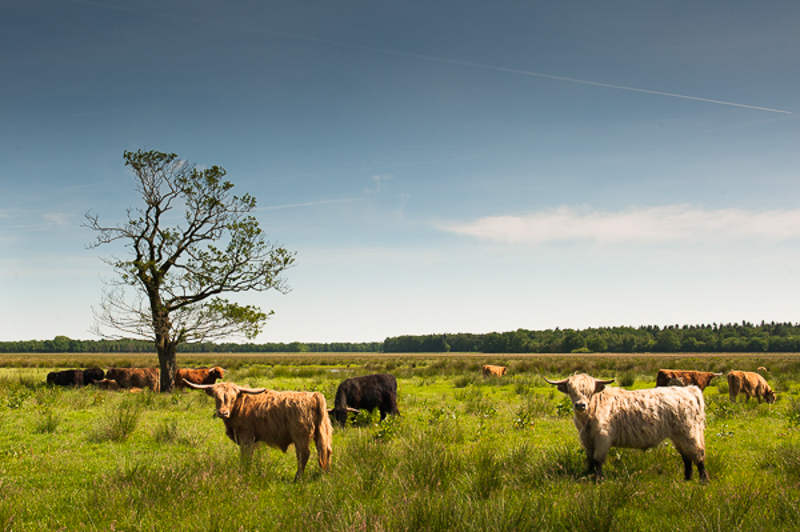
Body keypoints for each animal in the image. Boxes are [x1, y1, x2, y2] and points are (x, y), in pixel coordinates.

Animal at [187, 378, 332, 482]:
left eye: (232, 398)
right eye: (217, 398)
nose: (223, 413)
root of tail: (314, 395)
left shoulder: (246, 436)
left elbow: (245, 455)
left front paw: (244, 472)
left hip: (300, 435)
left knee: (304, 454)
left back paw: (297, 478)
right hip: (323, 432)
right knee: (325, 450)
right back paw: (324, 473)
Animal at [544, 374, 708, 482]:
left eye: (590, 392)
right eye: (571, 391)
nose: (580, 405)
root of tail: (689, 390)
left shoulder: (603, 438)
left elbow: (597, 459)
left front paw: (598, 480)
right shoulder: (587, 440)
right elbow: (590, 460)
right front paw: (589, 476)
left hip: (689, 432)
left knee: (698, 454)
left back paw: (703, 480)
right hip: (678, 435)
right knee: (686, 456)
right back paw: (687, 479)